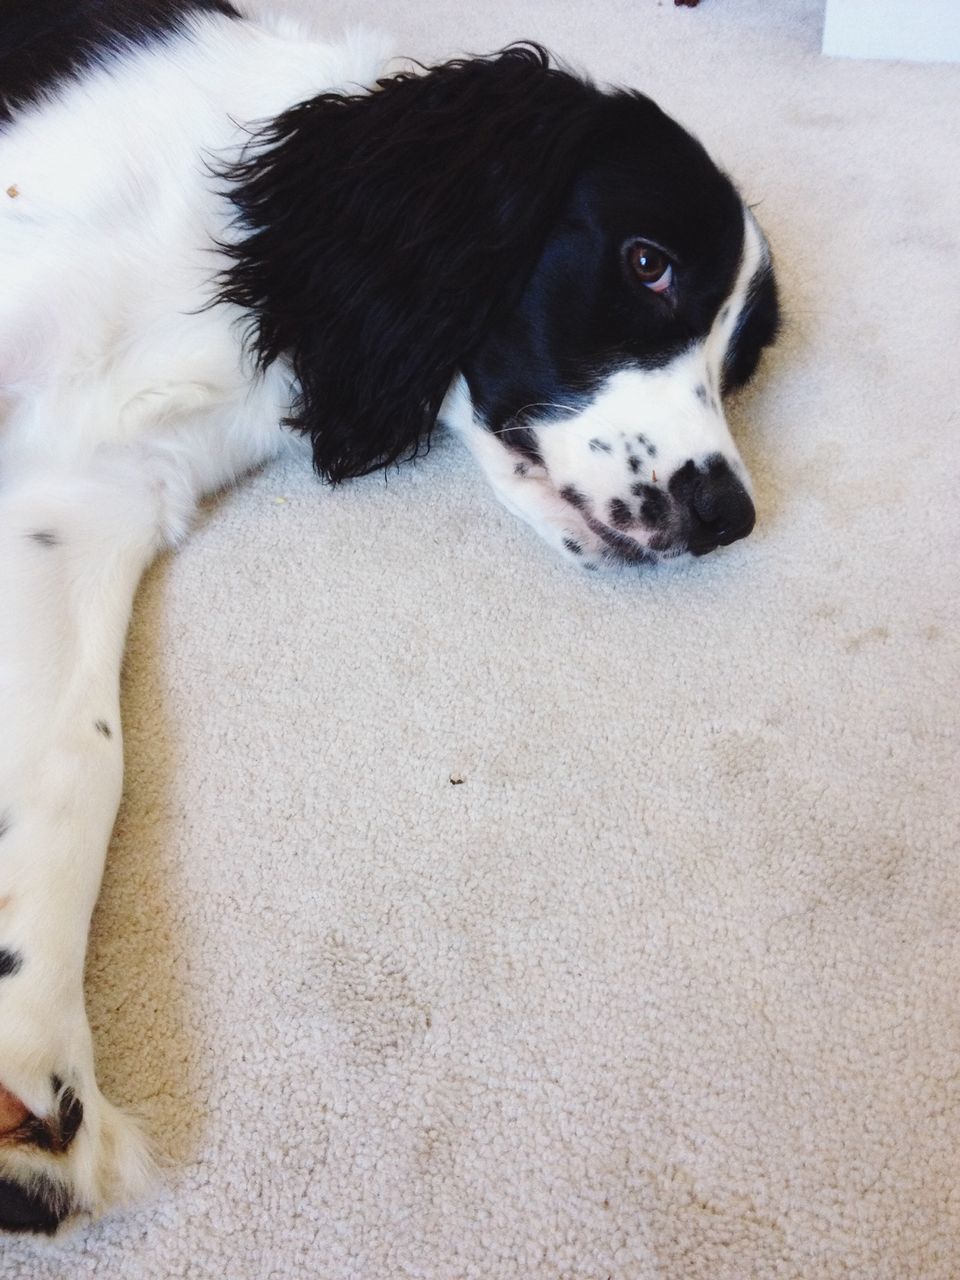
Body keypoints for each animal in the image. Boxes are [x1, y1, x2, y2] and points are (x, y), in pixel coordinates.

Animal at [0, 0, 783, 1239]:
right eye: (647, 264)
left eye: (741, 361)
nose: (727, 514)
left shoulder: (79, 498)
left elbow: (76, 760)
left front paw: (34, 1082)